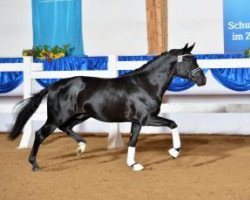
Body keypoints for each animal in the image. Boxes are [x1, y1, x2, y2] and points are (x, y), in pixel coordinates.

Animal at [9, 43, 205, 170]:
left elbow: (133, 141)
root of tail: (55, 85)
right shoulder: (146, 118)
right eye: (189, 61)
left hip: (80, 115)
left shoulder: (137, 121)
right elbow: (173, 124)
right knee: (40, 134)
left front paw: (133, 164)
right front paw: (174, 152)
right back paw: (35, 165)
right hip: (56, 117)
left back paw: (81, 147)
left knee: (66, 128)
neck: (146, 85)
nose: (203, 80)